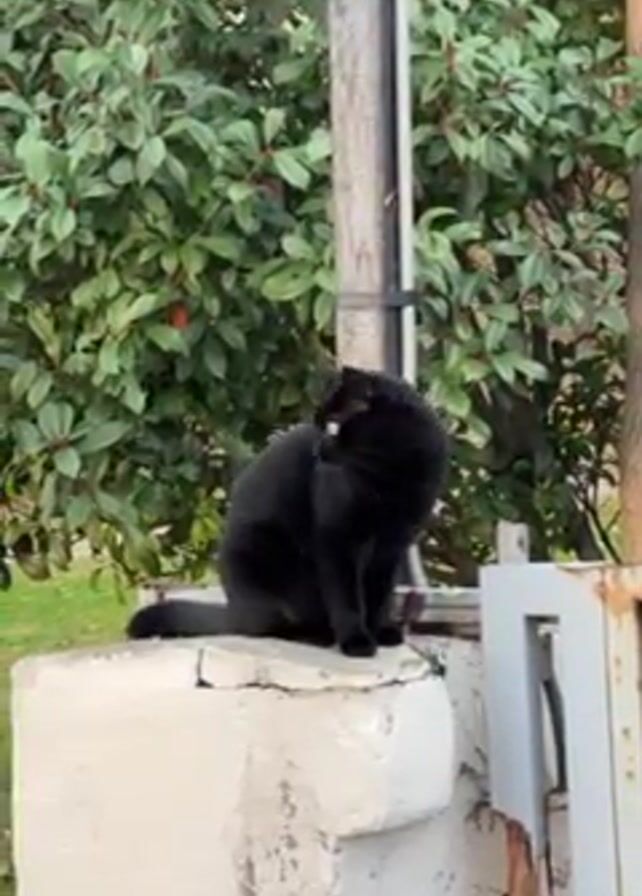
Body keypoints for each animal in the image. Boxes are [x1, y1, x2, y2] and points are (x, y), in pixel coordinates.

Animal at [127, 366, 448, 657]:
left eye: (333, 426)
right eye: (320, 426)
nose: (318, 449)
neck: (392, 478)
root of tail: (233, 609)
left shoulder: (391, 546)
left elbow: (380, 596)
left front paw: (380, 631)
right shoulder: (337, 540)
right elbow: (347, 598)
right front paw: (357, 641)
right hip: (261, 551)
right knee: (267, 627)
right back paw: (314, 635)